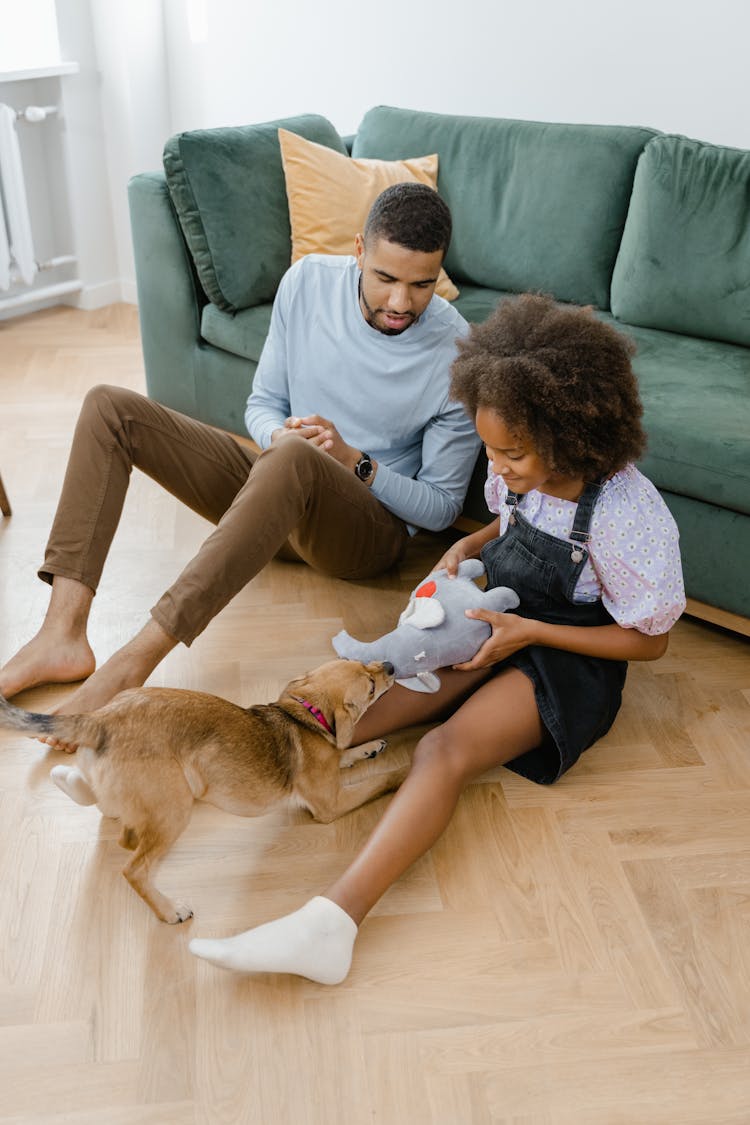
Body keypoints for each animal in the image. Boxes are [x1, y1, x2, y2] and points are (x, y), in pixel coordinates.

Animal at [0, 657, 407, 922]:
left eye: (364, 662)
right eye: (371, 686)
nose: (389, 665)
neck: (306, 716)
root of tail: (98, 720)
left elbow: (348, 754)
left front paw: (369, 747)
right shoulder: (331, 803)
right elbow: (378, 779)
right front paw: (404, 770)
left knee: (110, 814)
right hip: (175, 807)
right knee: (134, 864)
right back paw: (170, 911)